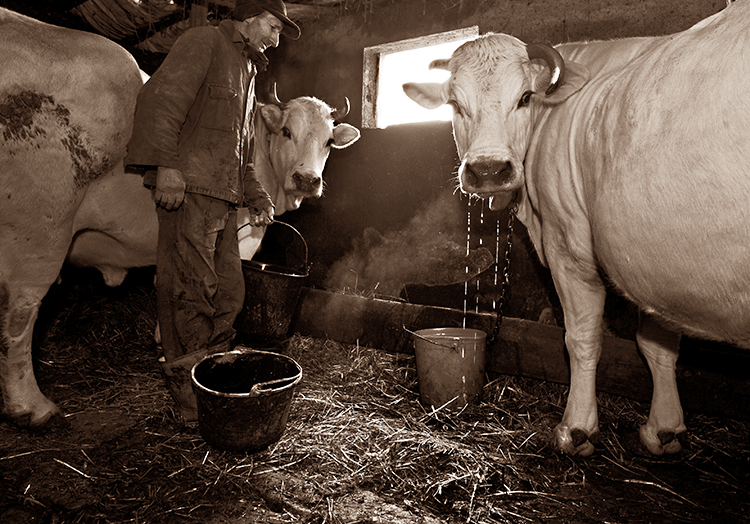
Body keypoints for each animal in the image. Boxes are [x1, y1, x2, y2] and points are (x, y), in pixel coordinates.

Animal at [0, 8, 362, 428]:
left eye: (329, 141)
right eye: (287, 131)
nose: (307, 179)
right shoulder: (239, 241)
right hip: (41, 228)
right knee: (20, 312)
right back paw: (32, 407)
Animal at [406, 0, 750, 456]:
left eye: (525, 97)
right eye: (454, 104)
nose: (489, 170)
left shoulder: (568, 244)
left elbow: (582, 338)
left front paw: (577, 428)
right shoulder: (655, 259)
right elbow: (658, 345)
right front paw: (664, 428)